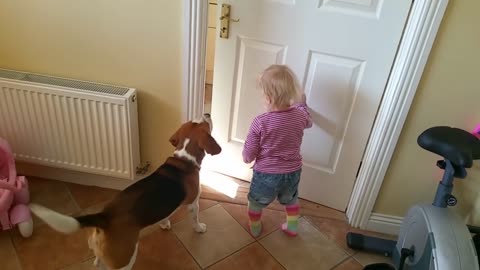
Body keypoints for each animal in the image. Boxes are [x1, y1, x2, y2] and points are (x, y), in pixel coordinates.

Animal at [31, 114, 222, 270]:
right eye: (205, 122)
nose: (207, 113)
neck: (184, 158)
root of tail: (104, 217)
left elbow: (164, 216)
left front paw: (164, 224)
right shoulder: (193, 202)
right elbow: (195, 218)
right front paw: (199, 228)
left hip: (98, 250)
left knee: (97, 262)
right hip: (125, 259)